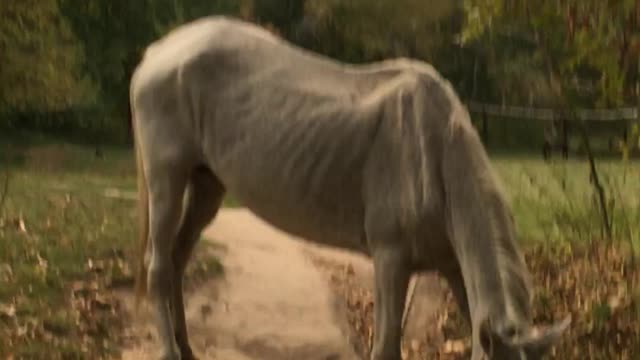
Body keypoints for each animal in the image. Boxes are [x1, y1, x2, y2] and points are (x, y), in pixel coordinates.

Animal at [130, 16, 568, 360]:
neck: (436, 152)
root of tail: (156, 53)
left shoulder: (451, 264)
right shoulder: (390, 258)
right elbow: (386, 347)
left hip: (206, 184)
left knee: (177, 260)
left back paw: (187, 347)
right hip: (167, 179)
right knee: (159, 264)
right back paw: (169, 350)